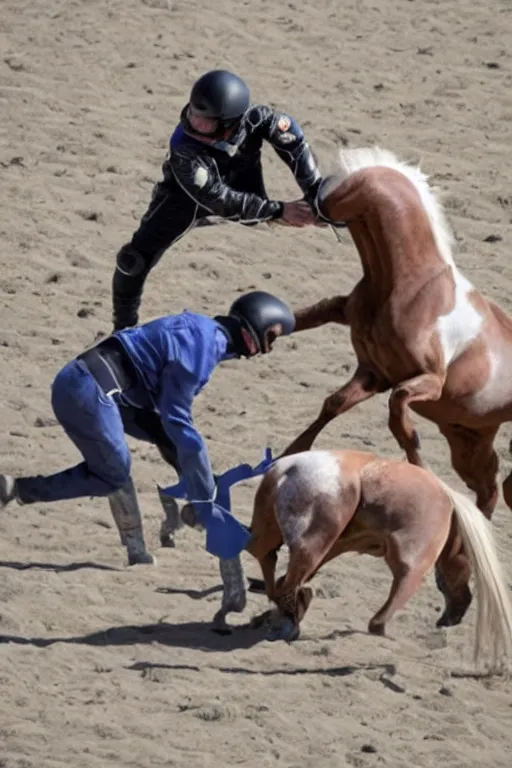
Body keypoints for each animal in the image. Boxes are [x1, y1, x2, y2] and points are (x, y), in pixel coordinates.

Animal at [245, 449, 512, 674]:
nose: (449, 620)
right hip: (316, 541)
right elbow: (387, 608)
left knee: (269, 563)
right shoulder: (414, 561)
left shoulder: (343, 543)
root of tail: (284, 469)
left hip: (277, 536)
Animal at [283, 146, 512, 530]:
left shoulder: (427, 379)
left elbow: (397, 411)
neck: (411, 286)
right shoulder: (373, 372)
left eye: (331, 188)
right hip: (468, 439)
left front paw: (419, 465)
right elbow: (334, 402)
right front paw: (290, 453)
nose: (297, 211)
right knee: (490, 487)